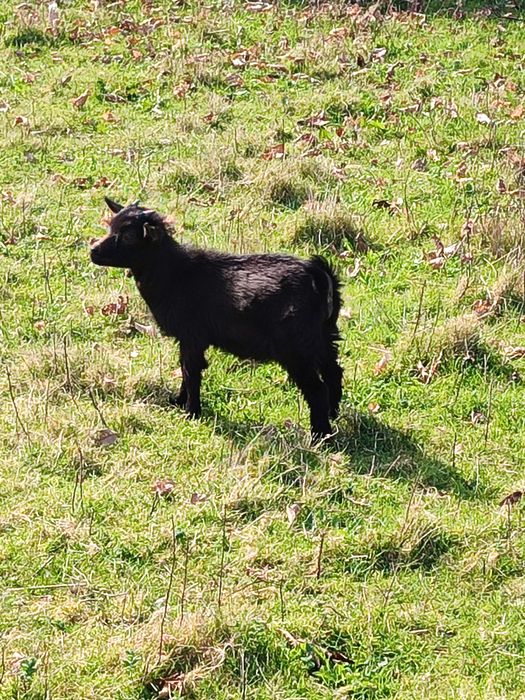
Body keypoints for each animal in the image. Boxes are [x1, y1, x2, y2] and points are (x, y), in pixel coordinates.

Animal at [90, 197, 343, 438]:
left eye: (128, 236)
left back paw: (319, 435)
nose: (93, 251)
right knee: (333, 372)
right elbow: (184, 368)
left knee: (317, 389)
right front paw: (178, 402)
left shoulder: (192, 336)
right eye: (110, 227)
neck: (174, 274)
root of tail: (318, 275)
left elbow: (191, 372)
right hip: (324, 336)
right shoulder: (187, 339)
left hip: (295, 348)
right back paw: (333, 415)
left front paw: (191, 412)